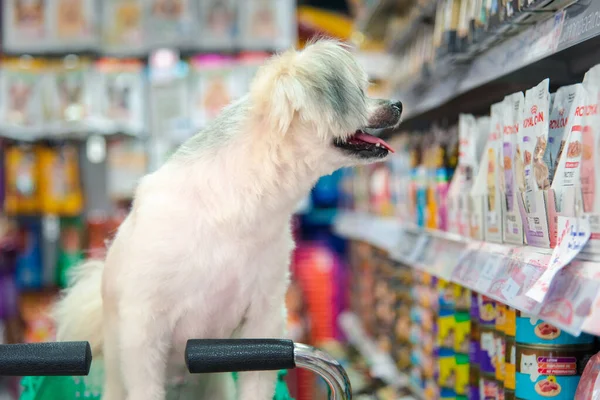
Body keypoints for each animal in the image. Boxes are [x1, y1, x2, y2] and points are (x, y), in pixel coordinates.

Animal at [54, 38, 404, 400]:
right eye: (360, 92)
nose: (398, 103)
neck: (235, 212)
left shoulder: (263, 322)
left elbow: (257, 387)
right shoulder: (144, 329)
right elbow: (146, 386)